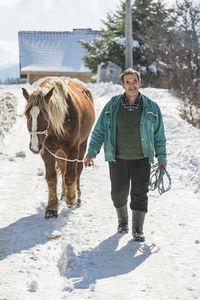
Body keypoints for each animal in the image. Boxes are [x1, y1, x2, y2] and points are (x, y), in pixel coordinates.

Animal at [23, 77, 95, 218]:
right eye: (27, 115)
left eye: (45, 115)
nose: (34, 146)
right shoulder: (47, 150)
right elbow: (51, 177)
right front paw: (52, 207)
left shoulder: (73, 149)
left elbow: (71, 175)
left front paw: (71, 199)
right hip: (60, 152)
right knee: (62, 167)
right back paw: (63, 193)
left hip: (82, 145)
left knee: (78, 170)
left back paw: (77, 197)